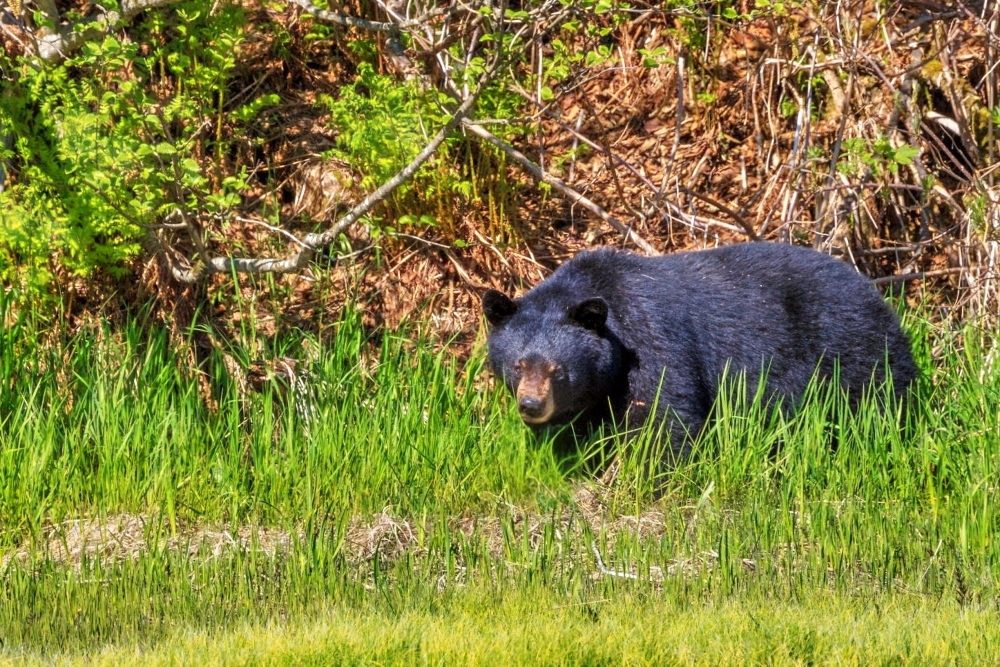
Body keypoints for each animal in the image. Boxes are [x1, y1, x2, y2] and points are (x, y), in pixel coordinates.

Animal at [482, 242, 917, 458]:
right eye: (518, 365)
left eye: (558, 370)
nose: (532, 405)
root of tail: (875, 292)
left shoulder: (653, 339)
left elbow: (665, 415)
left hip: (855, 349)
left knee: (878, 403)